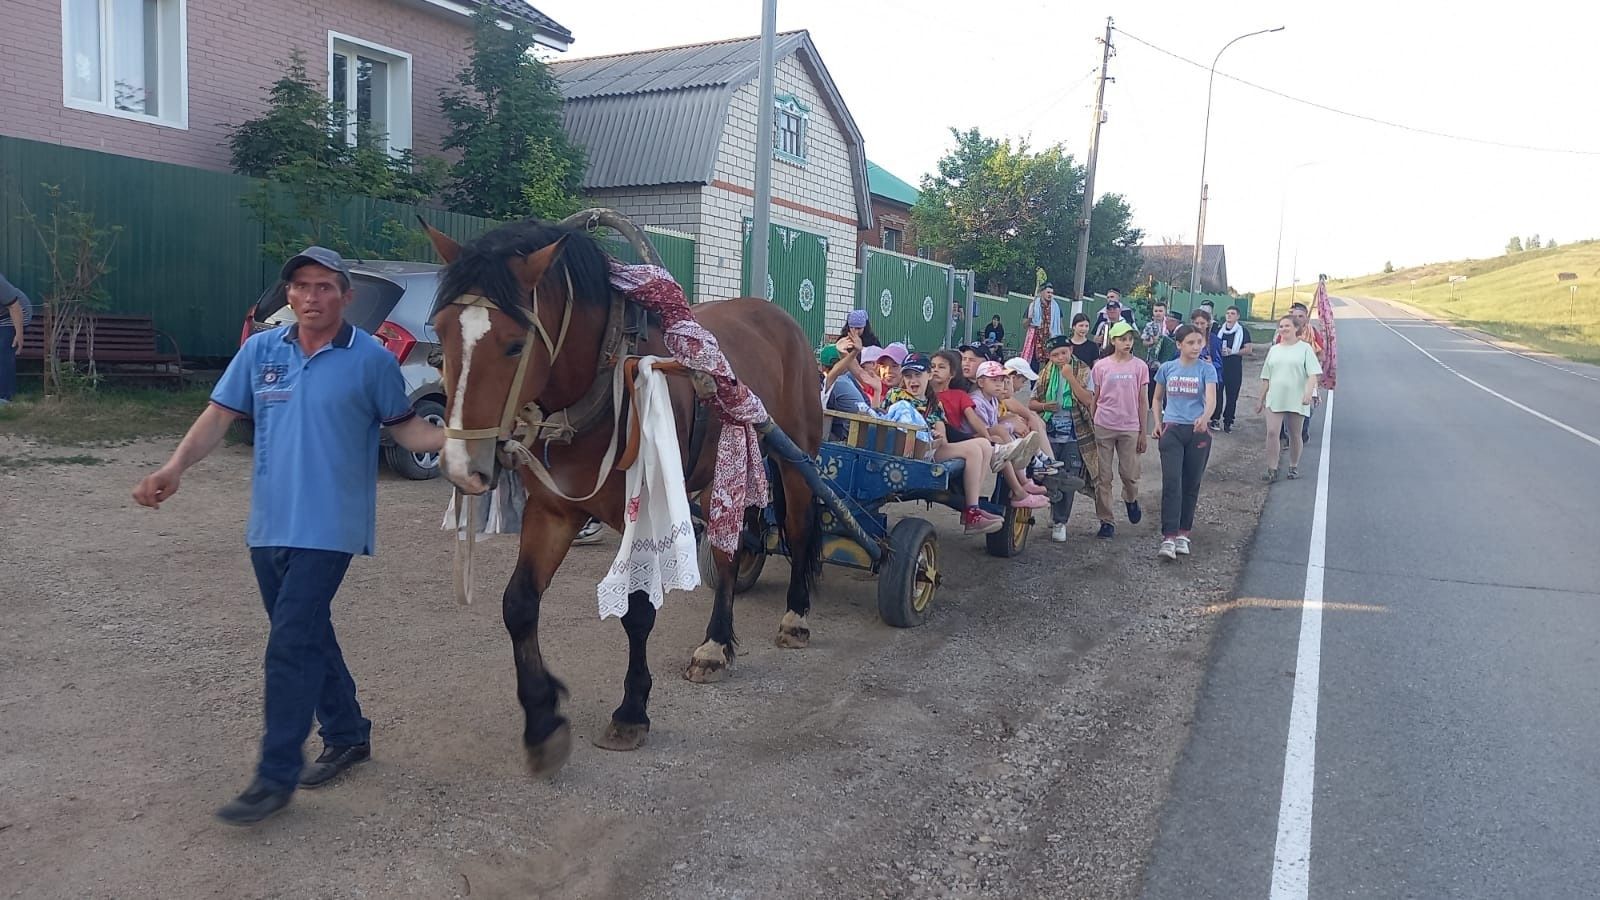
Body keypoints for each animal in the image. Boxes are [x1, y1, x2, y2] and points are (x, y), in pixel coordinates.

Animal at [425, 216, 825, 771]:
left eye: (513, 344)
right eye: (441, 332)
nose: (462, 467)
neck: (603, 371)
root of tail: (781, 318)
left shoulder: (646, 512)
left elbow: (637, 612)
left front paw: (631, 711)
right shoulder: (553, 510)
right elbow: (519, 604)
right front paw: (543, 717)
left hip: (794, 458)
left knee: (800, 531)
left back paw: (795, 620)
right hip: (718, 475)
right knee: (726, 554)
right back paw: (715, 644)